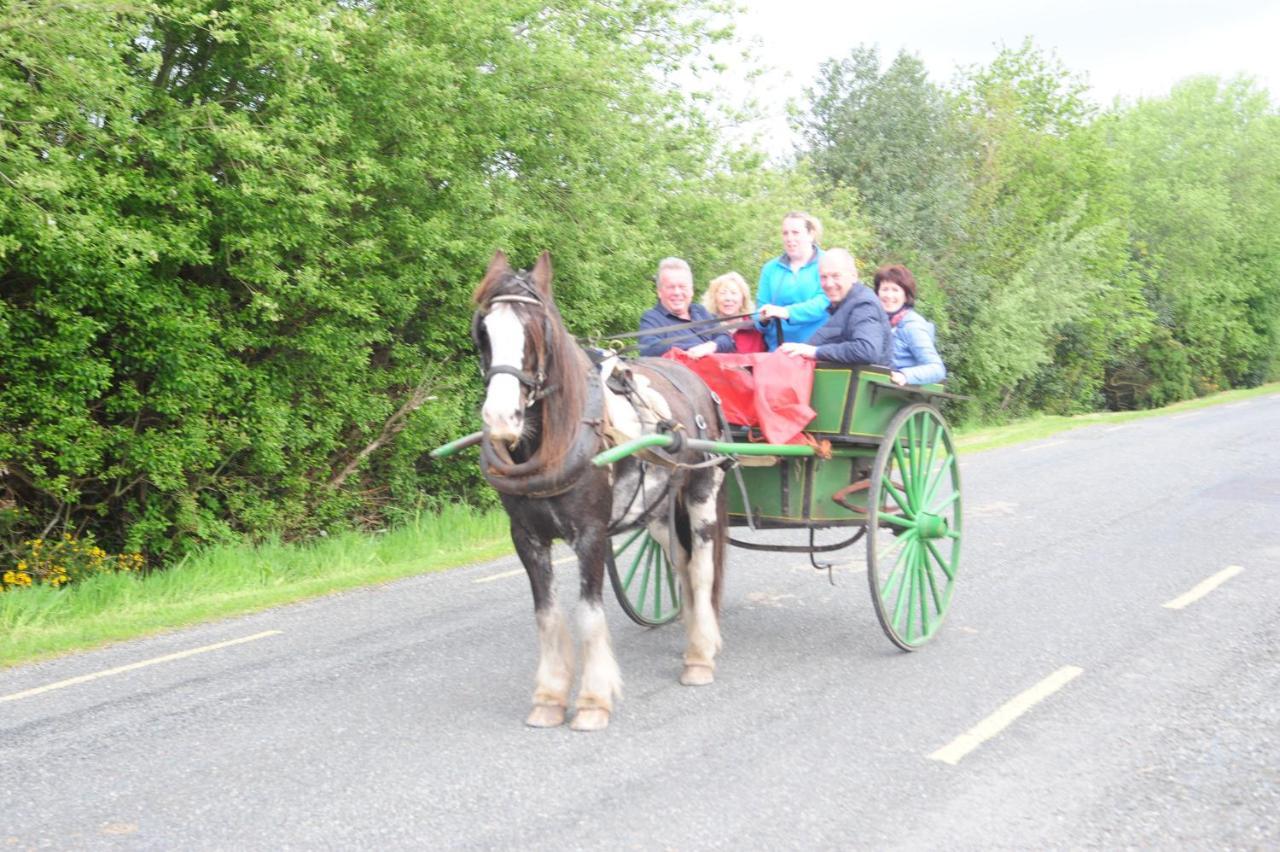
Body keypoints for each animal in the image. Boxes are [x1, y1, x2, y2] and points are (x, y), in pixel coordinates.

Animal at [473, 246, 732, 731]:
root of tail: (692, 376)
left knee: (703, 568)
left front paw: (593, 701)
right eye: (483, 331)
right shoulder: (526, 537)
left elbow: (588, 614)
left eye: (536, 330)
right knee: (682, 564)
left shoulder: (591, 535)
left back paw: (700, 654)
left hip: (702, 492)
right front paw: (549, 697)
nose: (500, 419)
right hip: (657, 510)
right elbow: (547, 614)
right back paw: (691, 633)